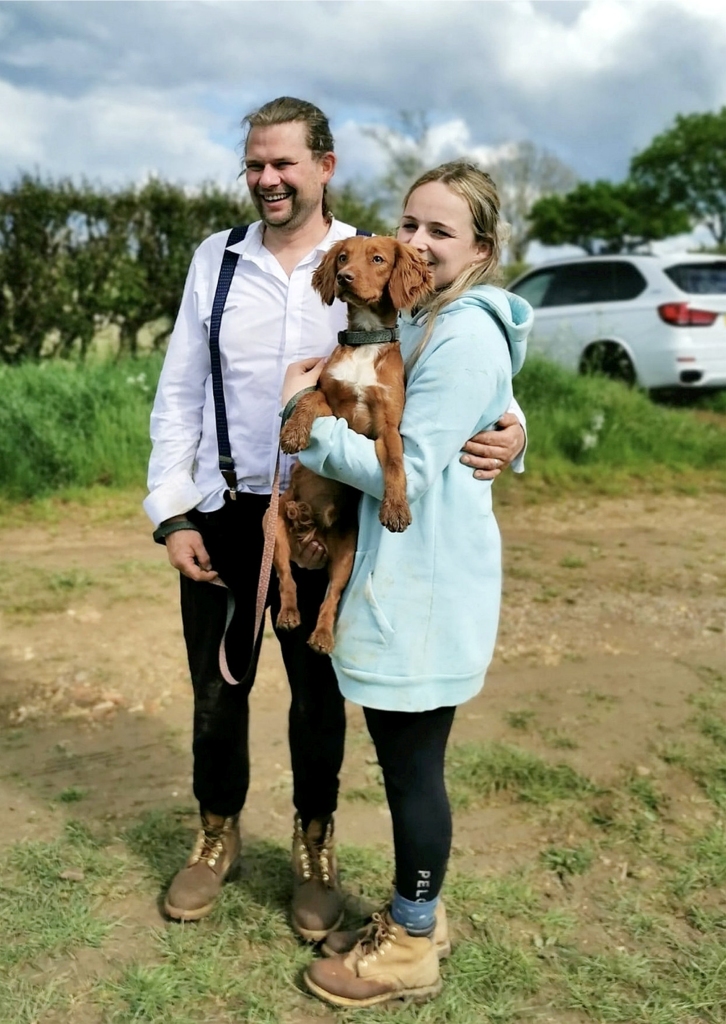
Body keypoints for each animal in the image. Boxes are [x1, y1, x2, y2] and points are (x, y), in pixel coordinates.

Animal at [272, 237, 430, 655]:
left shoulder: (387, 427)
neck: (365, 342)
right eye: (343, 257)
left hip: (344, 554)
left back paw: (323, 636)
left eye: (378, 259)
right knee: (286, 579)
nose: (344, 277)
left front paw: (396, 508)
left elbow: (396, 463)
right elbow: (309, 399)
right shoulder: (329, 396)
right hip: (272, 526)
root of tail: (310, 530)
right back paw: (289, 614)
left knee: (331, 597)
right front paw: (294, 433)